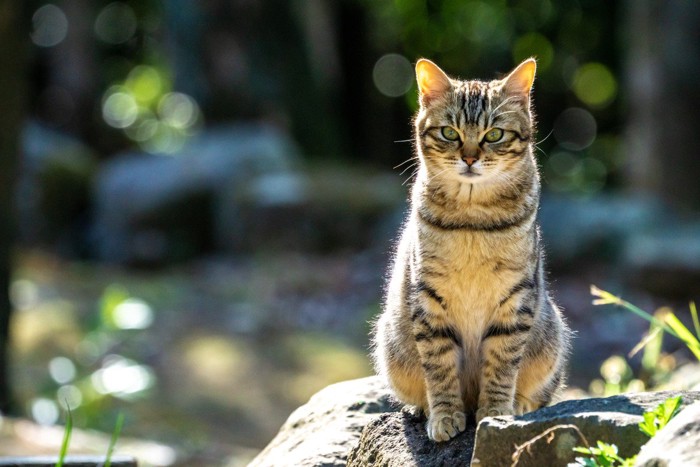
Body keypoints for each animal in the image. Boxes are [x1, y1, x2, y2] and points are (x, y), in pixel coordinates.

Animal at [372, 57, 568, 442]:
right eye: (450, 133)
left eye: (494, 135)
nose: (470, 158)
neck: (472, 219)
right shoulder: (428, 300)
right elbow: (439, 367)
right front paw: (445, 414)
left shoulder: (515, 300)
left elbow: (503, 364)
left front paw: (495, 412)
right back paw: (422, 407)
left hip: (551, 338)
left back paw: (520, 404)